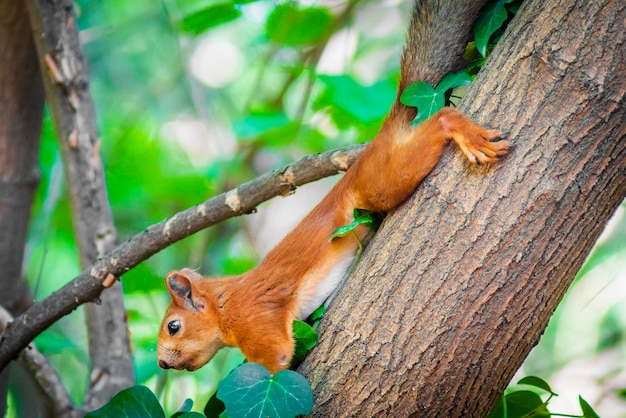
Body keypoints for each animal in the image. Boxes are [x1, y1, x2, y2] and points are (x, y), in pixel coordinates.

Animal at [156, 0, 508, 372]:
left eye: (173, 326)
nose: (162, 363)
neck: (225, 300)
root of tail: (387, 129)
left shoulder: (253, 319)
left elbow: (275, 362)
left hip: (382, 180)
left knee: (440, 121)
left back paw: (462, 131)